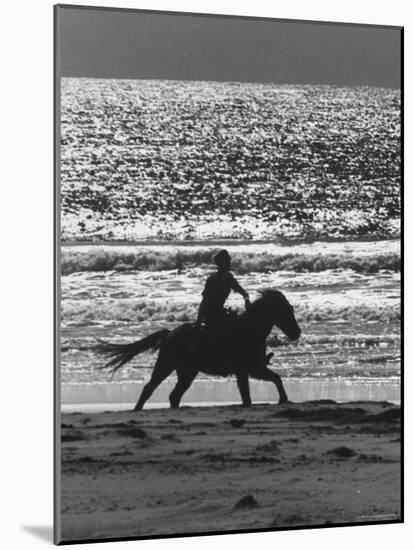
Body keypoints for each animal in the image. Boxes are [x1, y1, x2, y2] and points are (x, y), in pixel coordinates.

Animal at [97, 288, 300, 410]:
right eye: (285, 311)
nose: (297, 333)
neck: (249, 329)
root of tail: (169, 333)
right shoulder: (247, 369)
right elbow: (249, 394)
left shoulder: (252, 368)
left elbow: (274, 379)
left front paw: (283, 399)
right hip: (166, 364)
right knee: (150, 387)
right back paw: (137, 409)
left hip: (187, 372)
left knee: (174, 395)